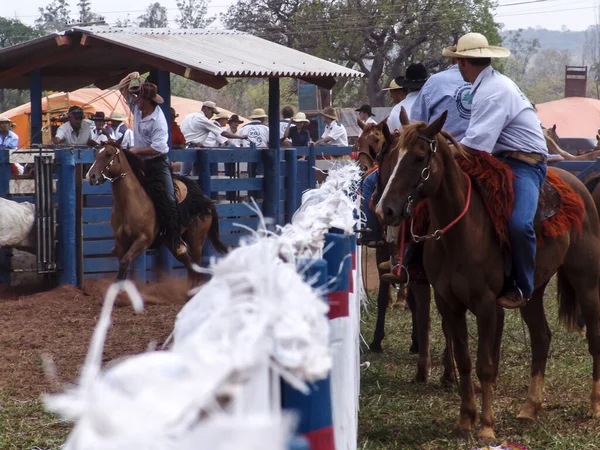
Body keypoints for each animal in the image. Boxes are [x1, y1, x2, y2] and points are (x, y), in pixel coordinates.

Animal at [88, 144, 229, 284]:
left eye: (108, 154)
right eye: (96, 154)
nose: (91, 176)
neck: (130, 204)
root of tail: (206, 200)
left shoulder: (143, 239)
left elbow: (124, 262)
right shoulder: (120, 242)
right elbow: (122, 266)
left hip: (196, 240)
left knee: (196, 270)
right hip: (172, 243)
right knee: (190, 268)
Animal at [378, 112, 600, 440]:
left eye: (419, 158)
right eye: (392, 157)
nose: (386, 210)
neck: (460, 232)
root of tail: (580, 186)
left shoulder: (484, 305)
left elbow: (485, 364)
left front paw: (486, 426)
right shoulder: (448, 303)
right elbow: (464, 360)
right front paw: (465, 419)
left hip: (586, 282)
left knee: (594, 337)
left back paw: (594, 405)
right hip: (532, 291)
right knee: (541, 337)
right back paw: (529, 407)